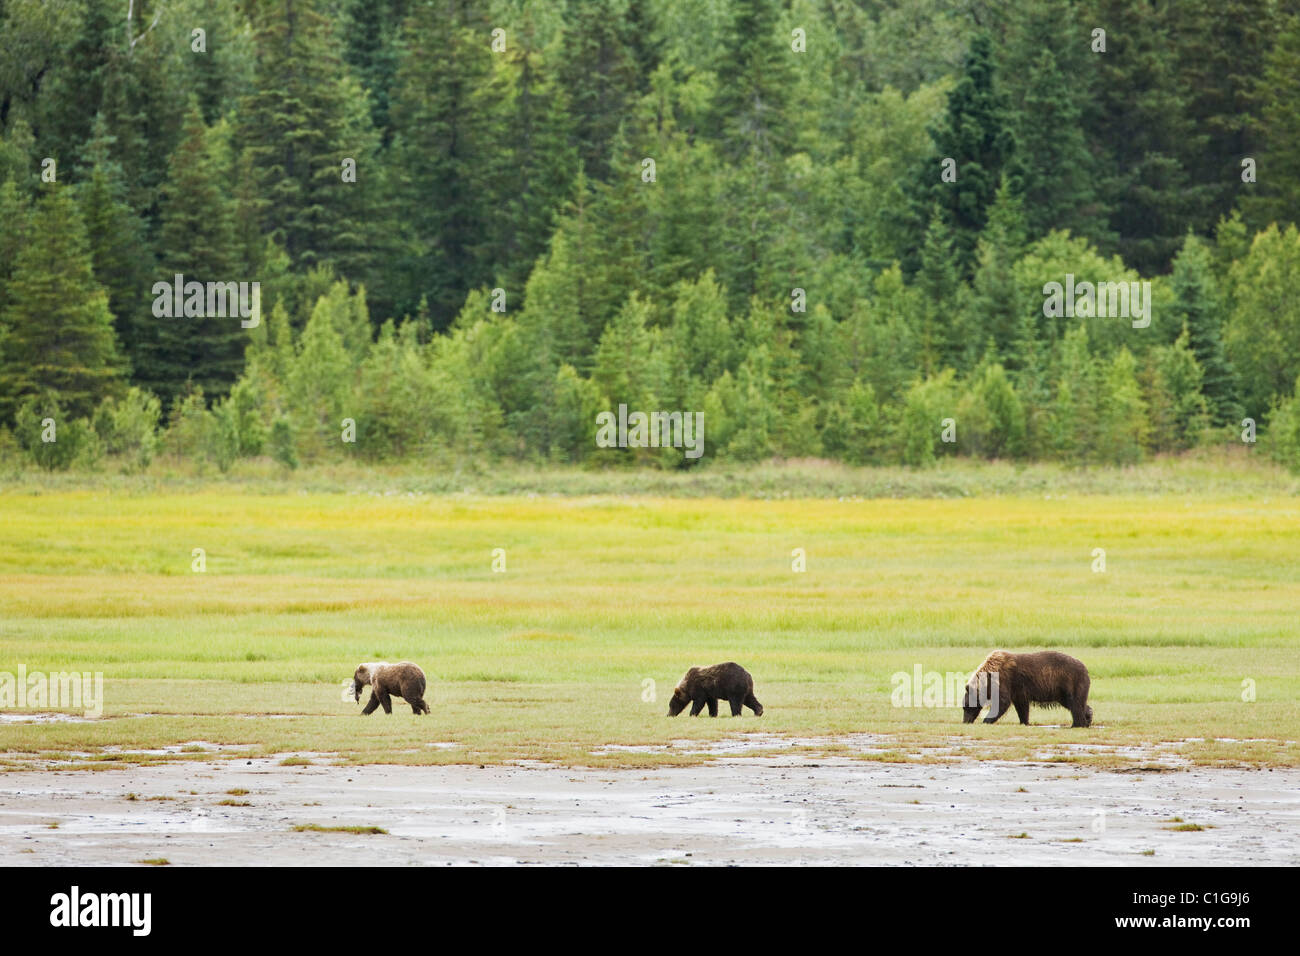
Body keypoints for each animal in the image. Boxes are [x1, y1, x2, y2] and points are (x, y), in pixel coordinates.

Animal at [961, 655, 1092, 728]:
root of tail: (1086, 668)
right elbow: (1022, 706)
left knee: (1075, 704)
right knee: (1076, 703)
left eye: (966, 707)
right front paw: (1024, 721)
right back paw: (1088, 718)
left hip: (1071, 681)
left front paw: (986, 720)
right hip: (1062, 692)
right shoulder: (1018, 689)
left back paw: (1077, 724)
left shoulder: (1004, 680)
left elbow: (1002, 702)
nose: (965, 721)